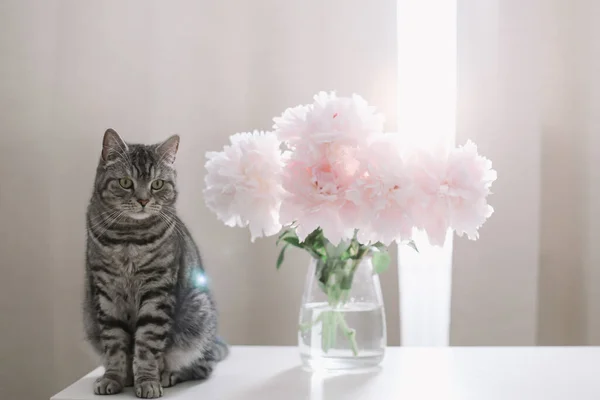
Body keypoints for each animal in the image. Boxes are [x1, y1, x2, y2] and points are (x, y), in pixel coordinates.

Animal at [83, 130, 226, 398]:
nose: (142, 200)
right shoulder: (107, 293)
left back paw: (169, 374)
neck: (129, 238)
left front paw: (148, 381)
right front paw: (113, 378)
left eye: (157, 184)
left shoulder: (157, 291)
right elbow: (114, 345)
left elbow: (147, 346)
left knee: (202, 365)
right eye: (125, 182)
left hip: (197, 316)